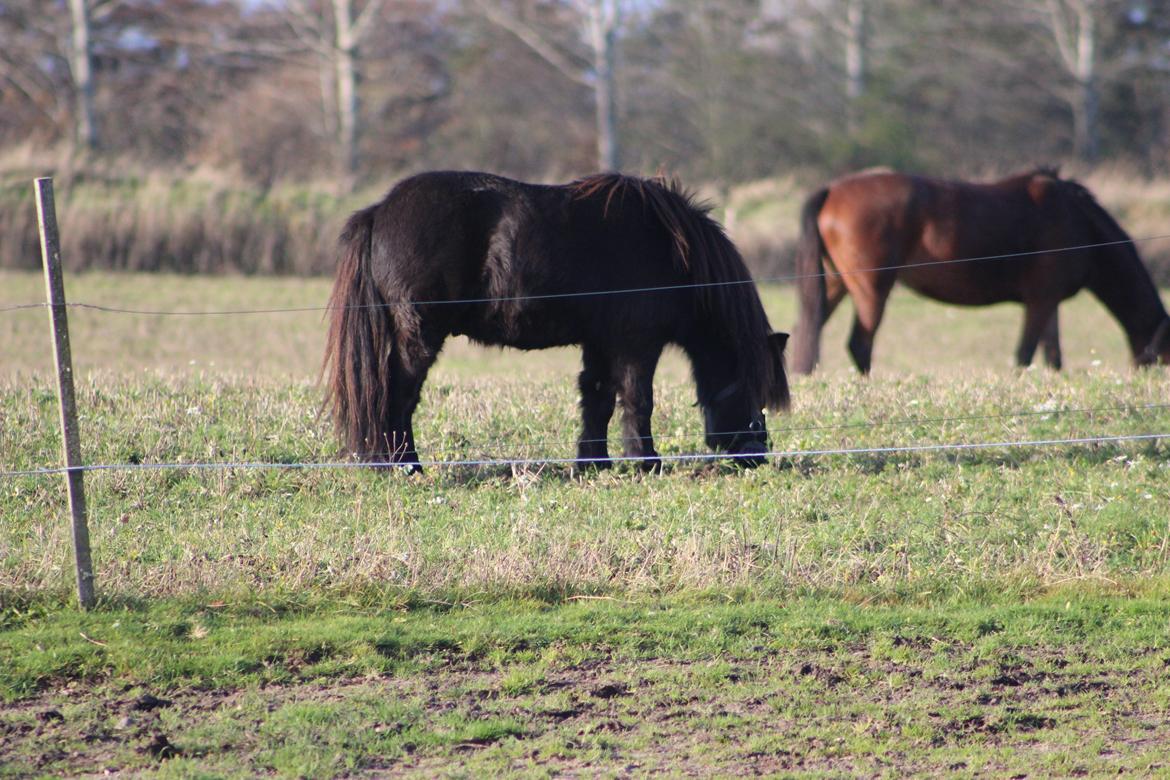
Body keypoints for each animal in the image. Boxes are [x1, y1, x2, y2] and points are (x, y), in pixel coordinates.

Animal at [325, 171, 790, 472]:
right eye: (755, 387)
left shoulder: (601, 343)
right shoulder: (637, 345)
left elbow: (598, 398)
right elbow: (638, 399)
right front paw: (645, 462)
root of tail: (379, 211)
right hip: (419, 335)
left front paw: (593, 462)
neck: (672, 252)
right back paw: (405, 465)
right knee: (399, 394)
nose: (756, 455)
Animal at [790, 166, 1165, 374]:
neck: (1079, 223)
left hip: (835, 284)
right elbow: (1025, 355)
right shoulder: (1041, 300)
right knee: (860, 344)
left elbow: (1053, 357)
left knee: (808, 331)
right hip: (872, 290)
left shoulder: (1049, 303)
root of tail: (832, 190)